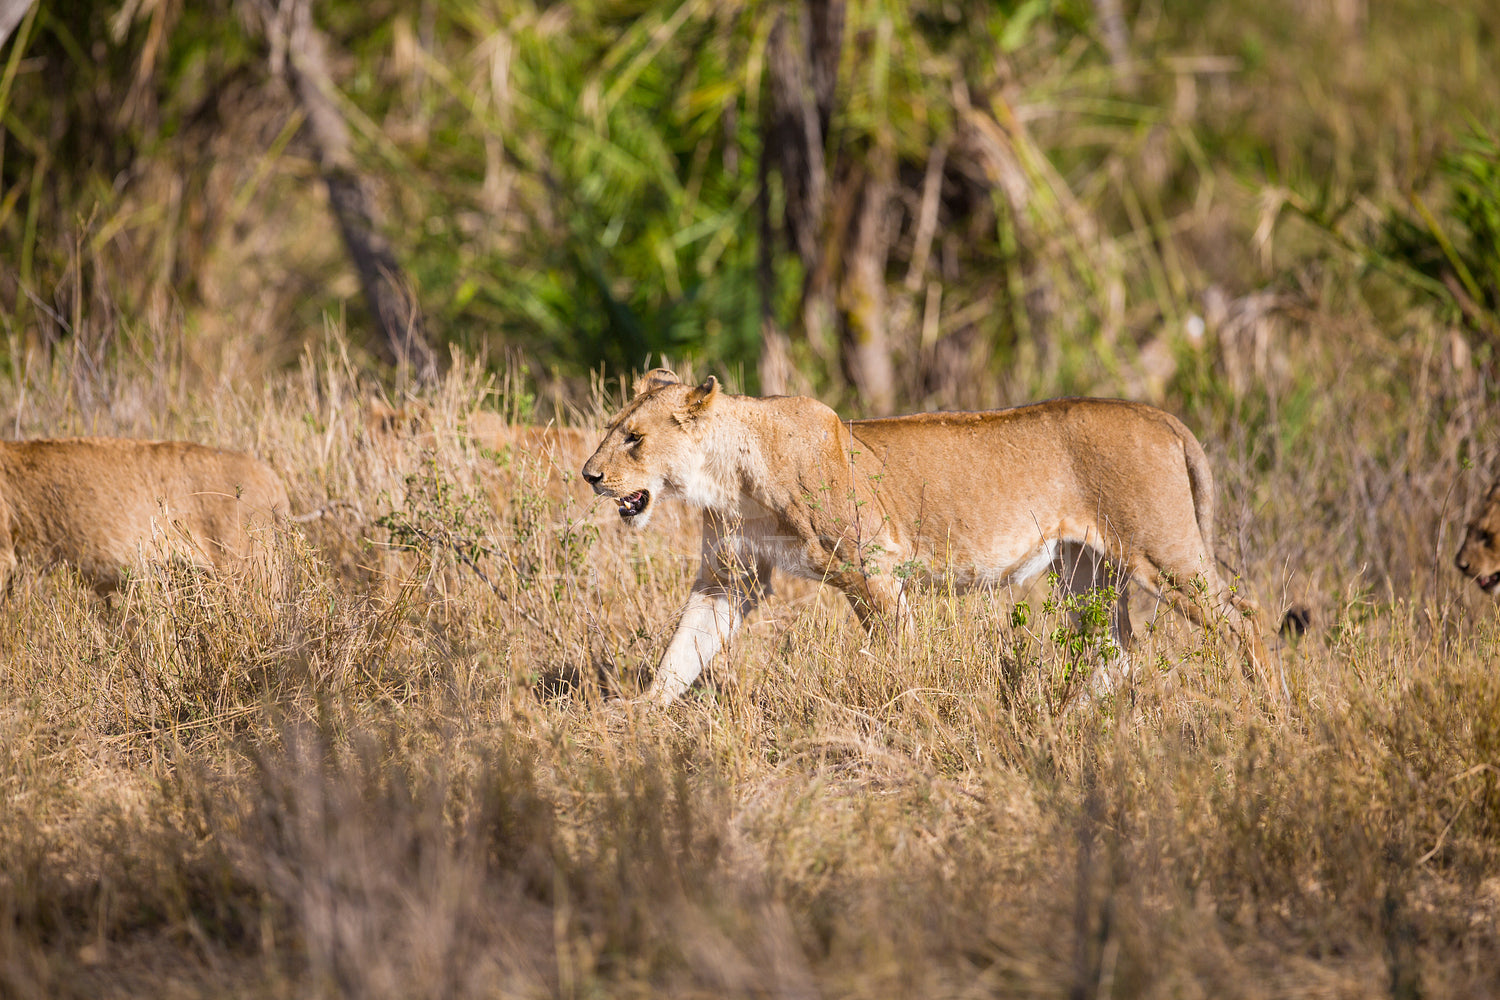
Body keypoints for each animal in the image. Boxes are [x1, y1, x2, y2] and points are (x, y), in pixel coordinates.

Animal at [585, 371, 1278, 707]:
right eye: (611, 429)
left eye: (634, 439)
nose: (590, 476)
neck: (727, 477)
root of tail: (1159, 414)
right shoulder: (730, 580)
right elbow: (684, 650)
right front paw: (641, 714)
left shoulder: (872, 568)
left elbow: (897, 652)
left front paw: (903, 706)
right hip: (1085, 569)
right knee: (1117, 648)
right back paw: (1067, 718)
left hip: (1164, 554)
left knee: (1247, 617)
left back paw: (1275, 713)